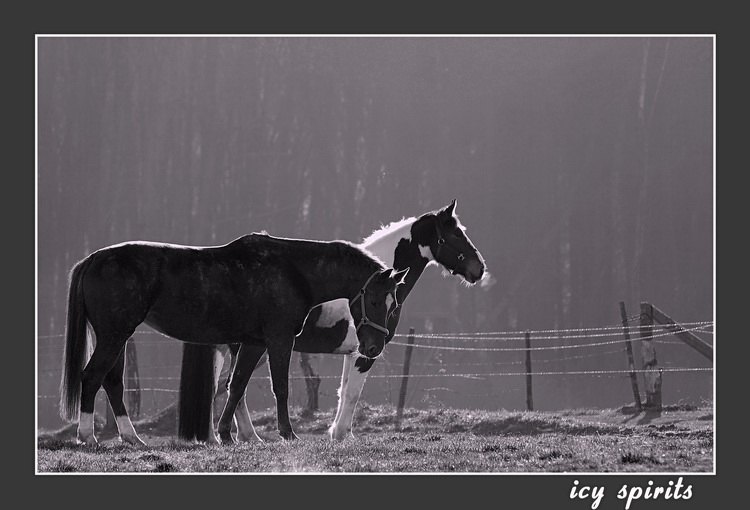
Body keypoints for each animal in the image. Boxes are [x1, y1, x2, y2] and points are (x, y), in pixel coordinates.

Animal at [59, 233, 408, 444]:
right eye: (373, 300)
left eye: (394, 304)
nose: (373, 348)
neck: (292, 270)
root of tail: (94, 259)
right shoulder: (279, 340)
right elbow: (279, 388)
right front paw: (287, 433)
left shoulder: (253, 343)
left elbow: (236, 385)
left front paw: (226, 434)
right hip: (114, 335)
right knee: (92, 377)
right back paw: (87, 436)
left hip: (116, 336)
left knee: (112, 382)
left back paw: (132, 437)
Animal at [178, 199, 488, 442]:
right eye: (455, 234)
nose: (479, 269)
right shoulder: (366, 353)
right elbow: (352, 393)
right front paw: (340, 434)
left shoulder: (354, 351)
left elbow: (344, 391)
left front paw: (341, 432)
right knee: (232, 388)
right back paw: (246, 436)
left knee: (225, 388)